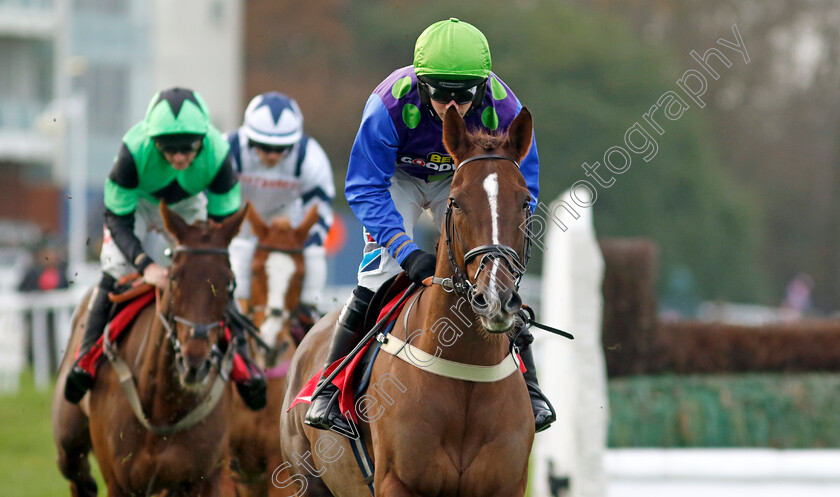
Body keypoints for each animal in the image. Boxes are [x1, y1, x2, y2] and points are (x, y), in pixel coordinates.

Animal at [53, 202, 246, 496]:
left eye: (229, 282)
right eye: (174, 277)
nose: (194, 363)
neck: (162, 407)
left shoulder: (203, 478)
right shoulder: (119, 481)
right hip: (69, 438)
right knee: (77, 473)